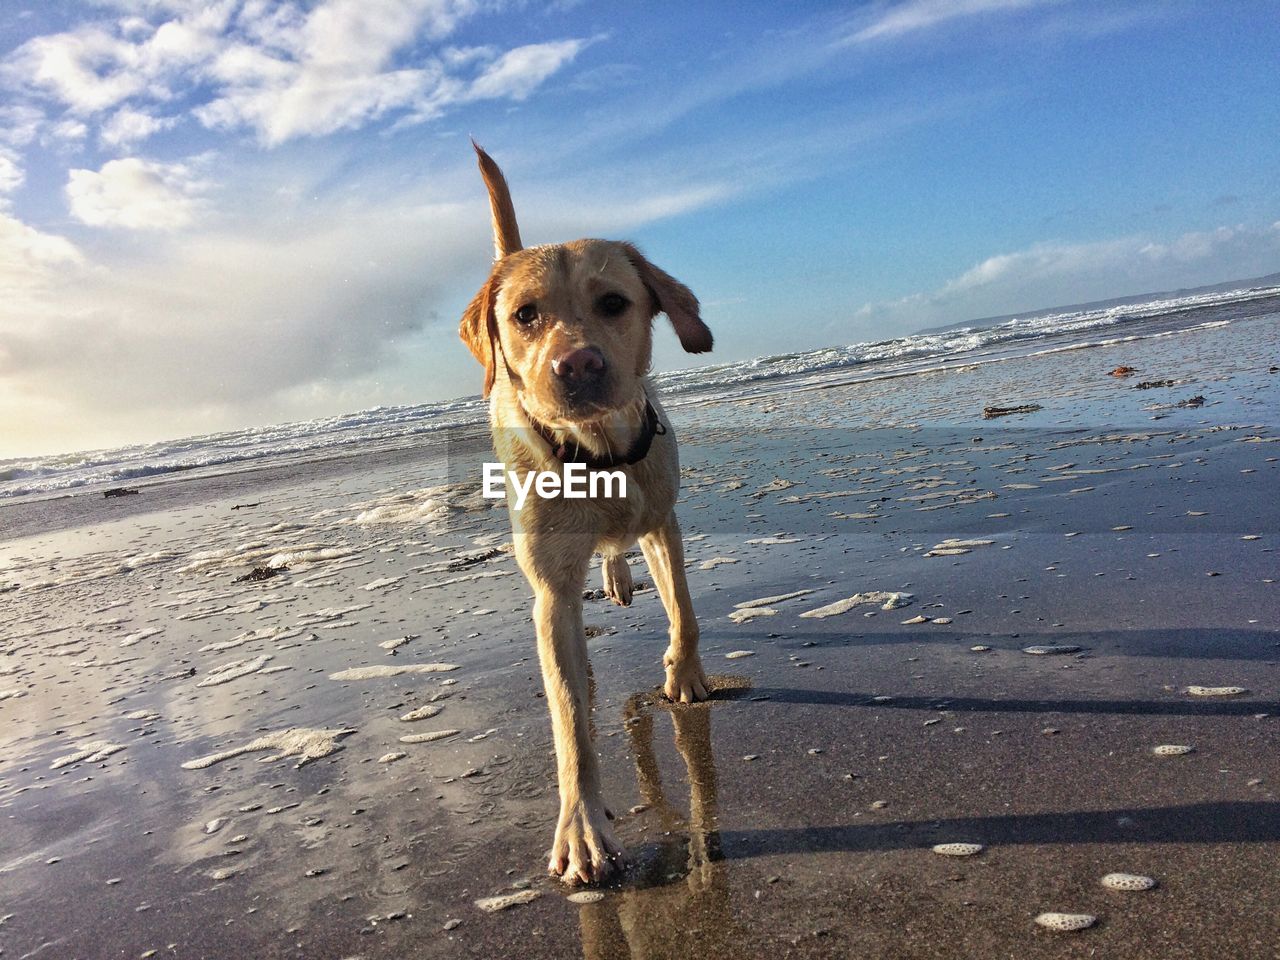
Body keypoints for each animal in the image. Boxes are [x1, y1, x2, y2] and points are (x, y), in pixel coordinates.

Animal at [460, 144, 716, 885]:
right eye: (525, 316)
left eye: (613, 303)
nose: (576, 364)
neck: (598, 452)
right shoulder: (550, 591)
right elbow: (570, 720)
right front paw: (581, 827)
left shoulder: (664, 522)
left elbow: (685, 609)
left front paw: (684, 675)